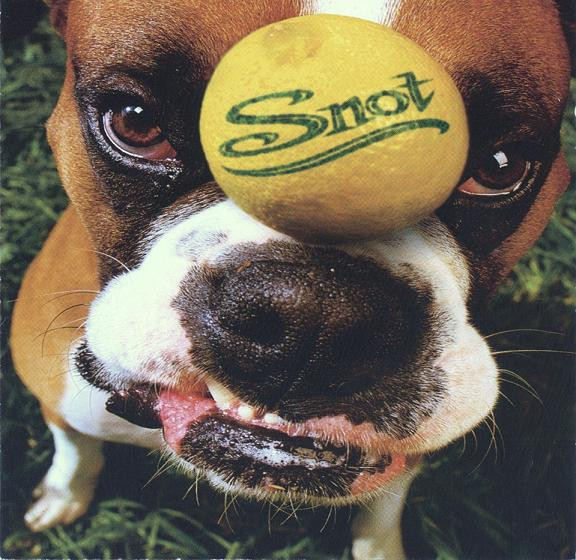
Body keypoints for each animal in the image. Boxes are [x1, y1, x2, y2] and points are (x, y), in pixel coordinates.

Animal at [10, 1, 571, 558]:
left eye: (500, 167)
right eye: (136, 122)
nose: (319, 311)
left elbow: (382, 510)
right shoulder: (56, 397)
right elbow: (75, 453)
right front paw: (62, 497)